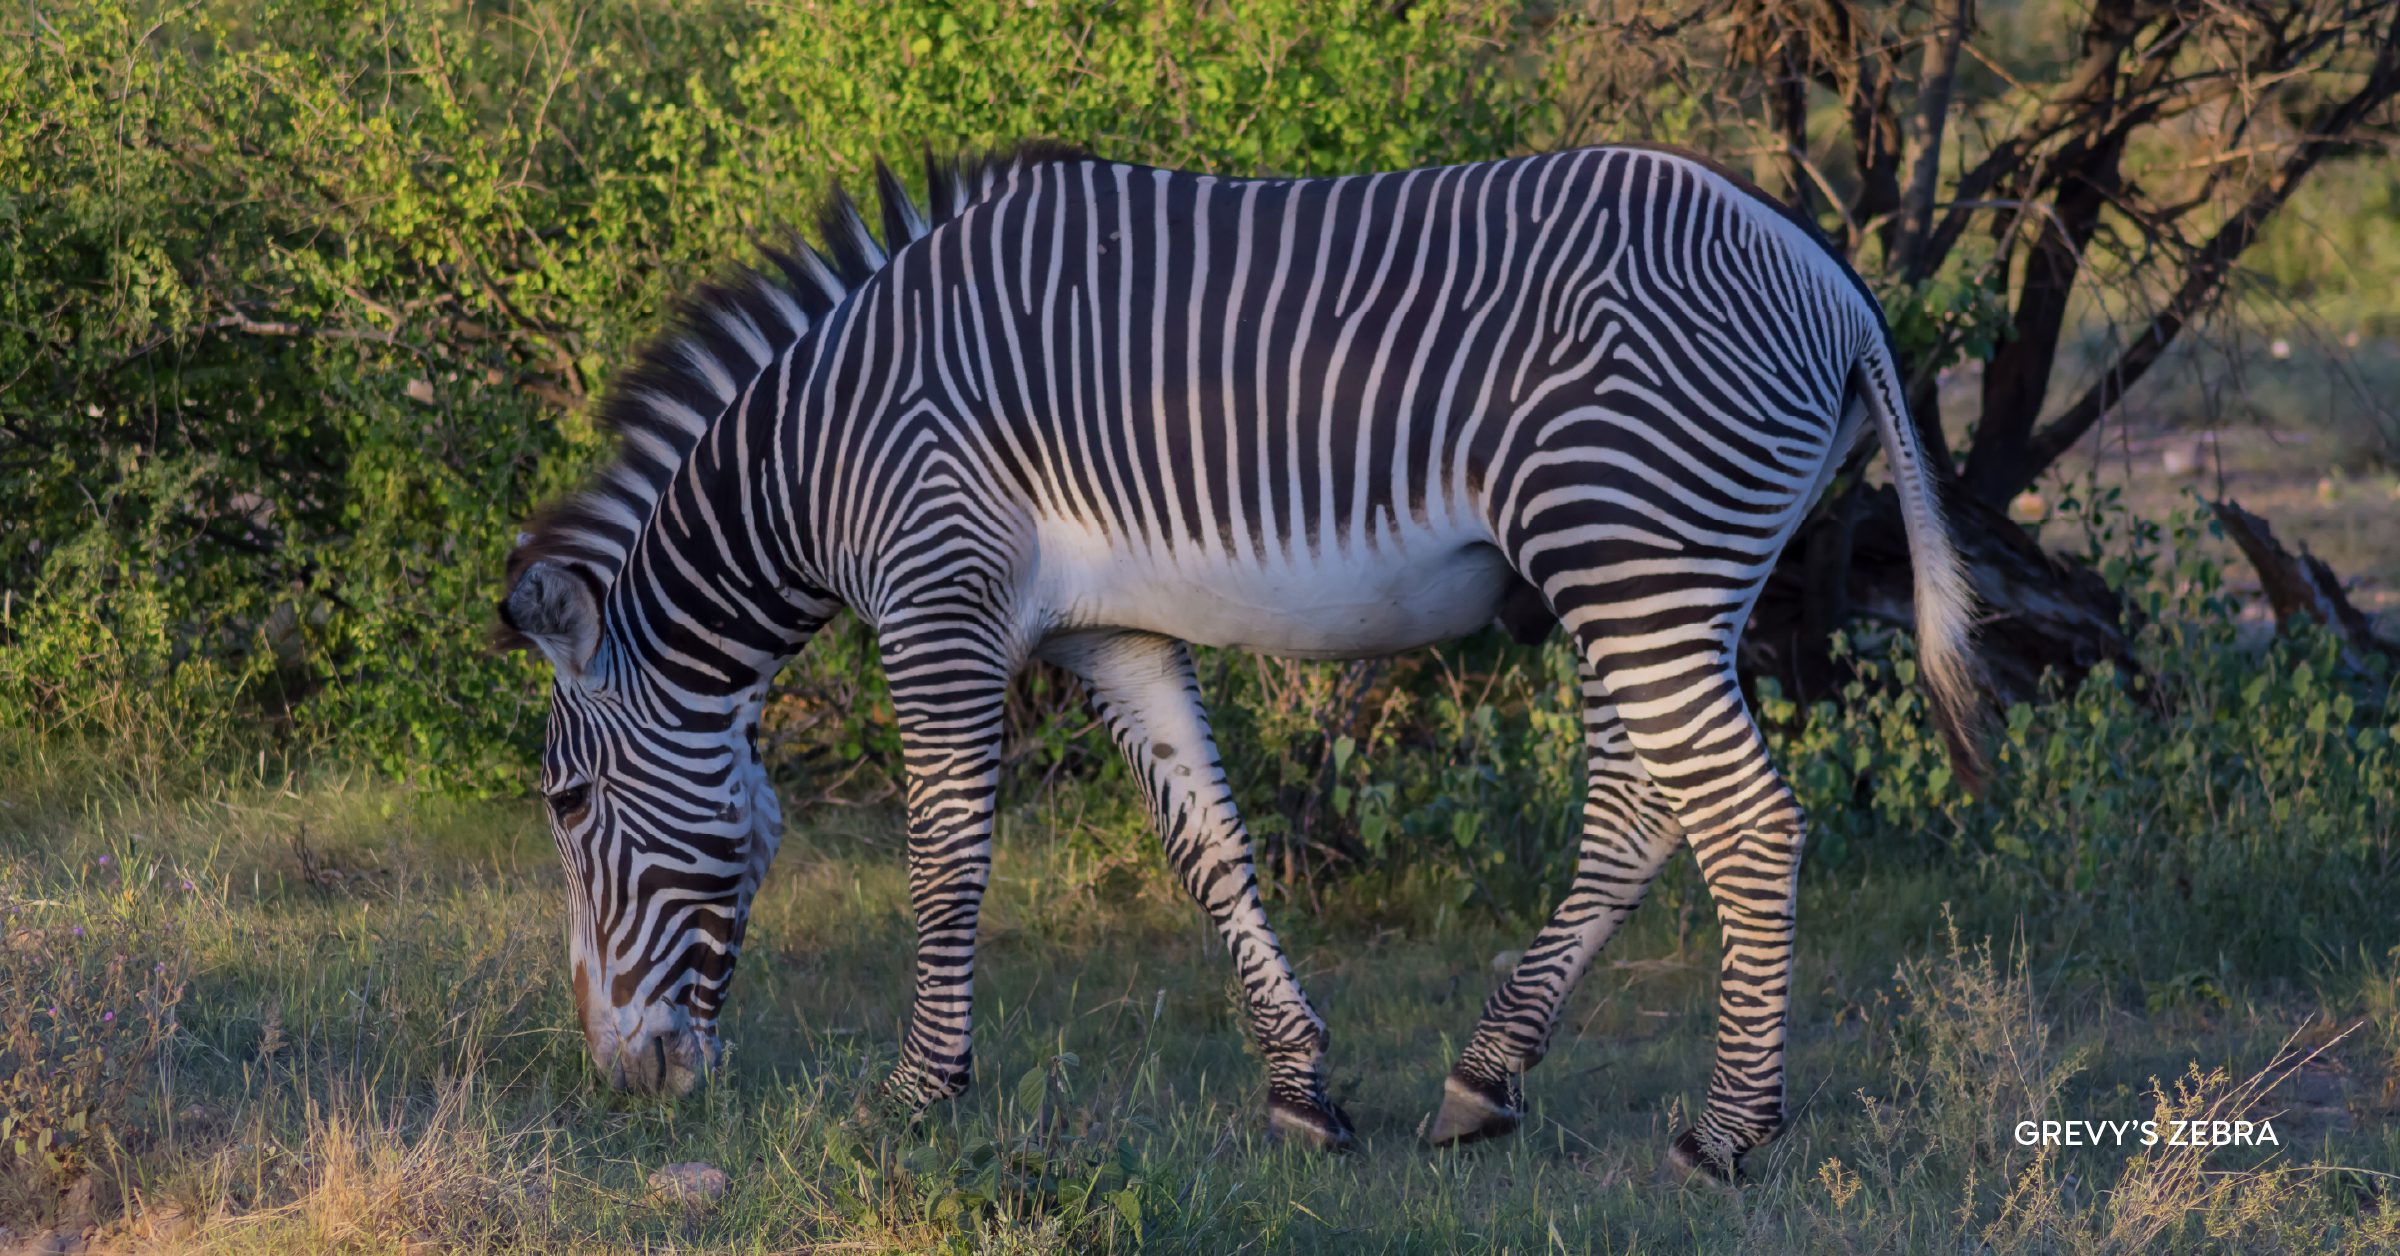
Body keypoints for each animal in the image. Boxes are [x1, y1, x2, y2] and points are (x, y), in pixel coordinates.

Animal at [496, 142, 1983, 1182]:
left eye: (568, 805)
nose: (621, 1085)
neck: (819, 455)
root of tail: (1829, 278)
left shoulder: (939, 598)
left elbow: (944, 860)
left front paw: (918, 1094)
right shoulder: (1113, 628)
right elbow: (1206, 844)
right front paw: (1300, 1089)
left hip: (1629, 555)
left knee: (1747, 822)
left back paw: (1726, 1134)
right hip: (1648, 575)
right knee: (1639, 811)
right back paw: (1485, 1078)